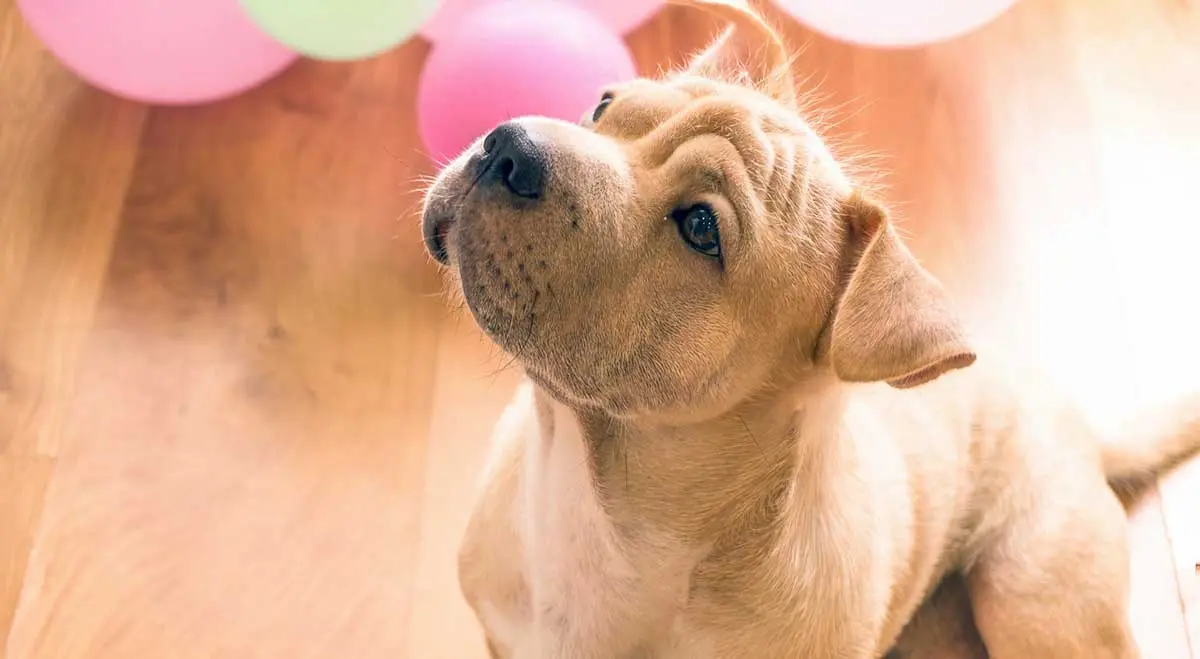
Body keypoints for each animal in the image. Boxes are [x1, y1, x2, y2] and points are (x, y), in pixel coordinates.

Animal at [420, 2, 1200, 652]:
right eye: (604, 104)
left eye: (701, 227)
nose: (509, 145)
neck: (599, 513)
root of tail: (1077, 421)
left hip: (1034, 598)